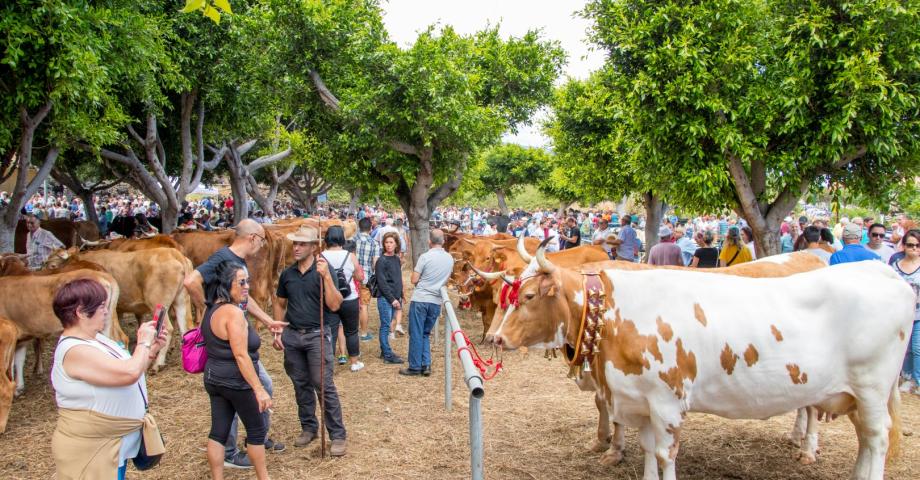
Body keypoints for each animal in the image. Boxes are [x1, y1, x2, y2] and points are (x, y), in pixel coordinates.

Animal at [46, 248, 192, 372]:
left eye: (52, 263)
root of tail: (173, 253)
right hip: (181, 300)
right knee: (185, 327)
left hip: (158, 302)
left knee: (169, 328)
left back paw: (157, 364)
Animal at [492, 244, 908, 480]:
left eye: (528, 296)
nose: (497, 338)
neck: (615, 313)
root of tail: (879, 270)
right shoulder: (638, 400)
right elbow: (647, 451)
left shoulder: (667, 402)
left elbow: (665, 454)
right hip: (851, 394)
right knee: (862, 439)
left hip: (871, 389)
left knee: (877, 439)